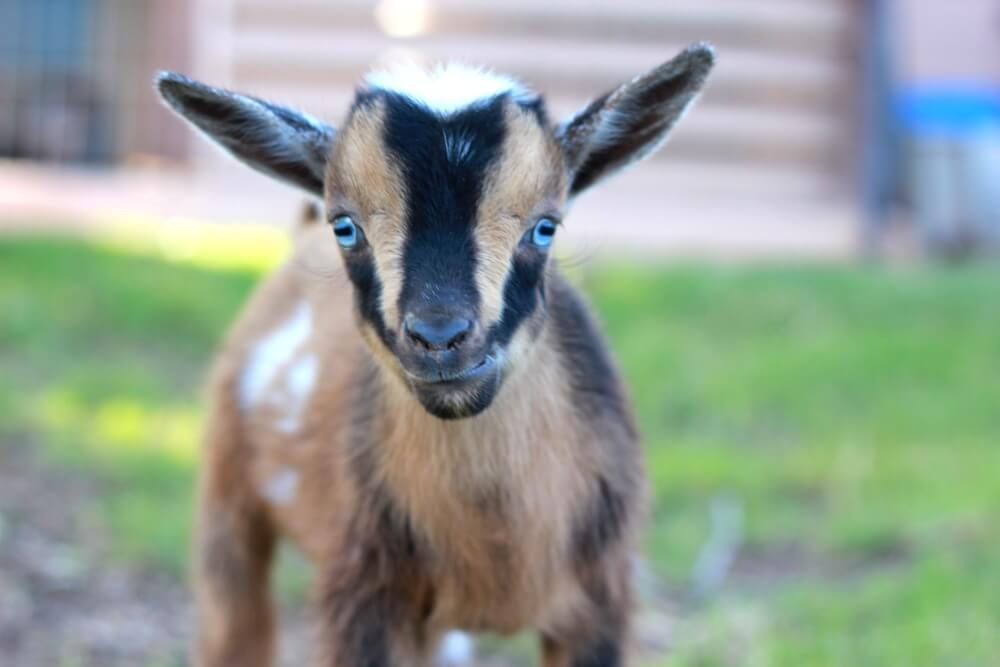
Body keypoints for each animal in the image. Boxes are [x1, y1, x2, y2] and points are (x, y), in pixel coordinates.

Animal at [156, 44, 716, 667]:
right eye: (345, 227)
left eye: (546, 226)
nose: (440, 337)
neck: (497, 542)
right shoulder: (362, 595)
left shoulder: (603, 599)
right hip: (226, 491)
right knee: (234, 621)